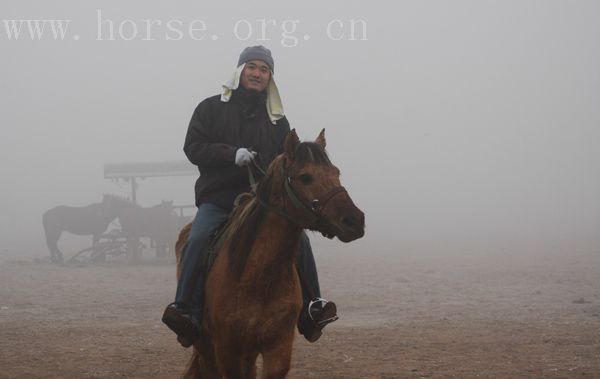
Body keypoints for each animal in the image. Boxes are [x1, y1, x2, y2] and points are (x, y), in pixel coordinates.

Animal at [176, 129, 364, 378]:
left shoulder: (278, 347)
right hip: (205, 345)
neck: (258, 277)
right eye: (305, 177)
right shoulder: (227, 350)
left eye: (336, 172)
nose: (355, 221)